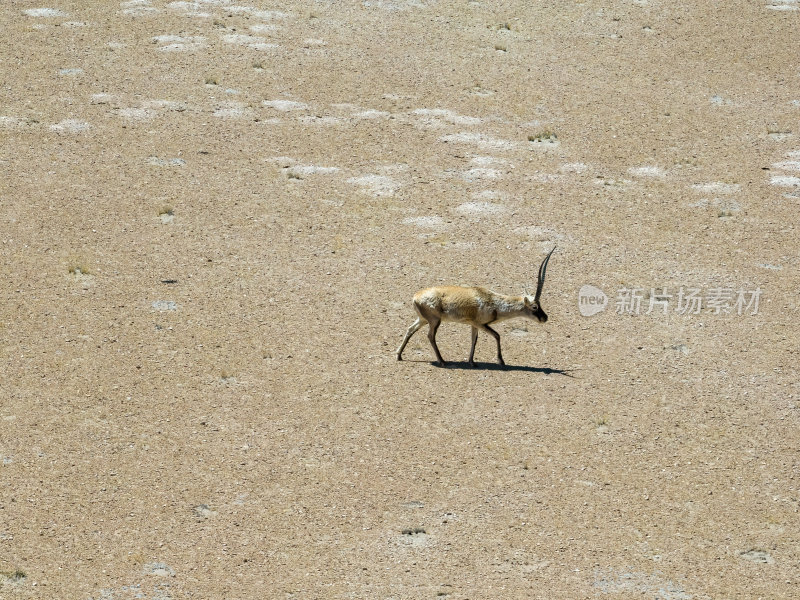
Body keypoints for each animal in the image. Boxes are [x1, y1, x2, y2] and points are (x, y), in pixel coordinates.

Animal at [396, 246, 556, 368]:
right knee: (430, 336)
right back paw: (442, 361)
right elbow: (497, 335)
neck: (493, 302)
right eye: (535, 307)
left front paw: (472, 362)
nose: (545, 318)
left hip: (423, 320)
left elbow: (474, 339)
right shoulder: (481, 324)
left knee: (410, 329)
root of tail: (416, 297)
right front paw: (501, 361)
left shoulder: (474, 325)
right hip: (435, 321)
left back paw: (399, 356)